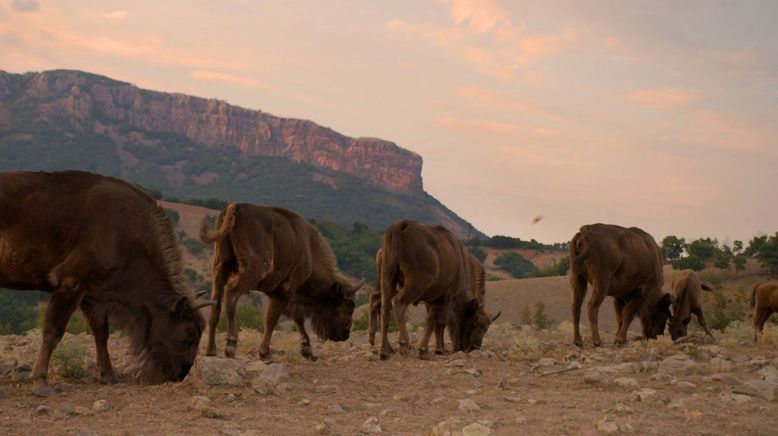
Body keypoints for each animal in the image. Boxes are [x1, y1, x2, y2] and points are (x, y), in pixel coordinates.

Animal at [0, 170, 209, 396]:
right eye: (190, 333)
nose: (181, 374)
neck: (129, 236)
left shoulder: (92, 296)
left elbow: (101, 333)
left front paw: (108, 376)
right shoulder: (70, 284)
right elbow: (53, 332)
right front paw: (40, 383)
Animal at [197, 204, 360, 362]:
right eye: (349, 305)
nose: (345, 333)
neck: (309, 250)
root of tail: (235, 208)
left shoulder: (284, 294)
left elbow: (297, 318)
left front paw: (308, 351)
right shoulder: (286, 290)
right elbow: (272, 319)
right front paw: (265, 354)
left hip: (219, 268)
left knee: (215, 303)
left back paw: (211, 351)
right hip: (252, 271)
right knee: (231, 294)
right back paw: (230, 347)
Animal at [376, 220, 498, 360]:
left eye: (486, 328)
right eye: (474, 322)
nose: (474, 347)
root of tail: (402, 225)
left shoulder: (431, 301)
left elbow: (434, 323)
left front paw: (436, 349)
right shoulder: (445, 299)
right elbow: (436, 322)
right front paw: (428, 350)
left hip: (387, 280)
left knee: (385, 308)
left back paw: (384, 351)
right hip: (415, 285)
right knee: (399, 303)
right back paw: (404, 345)